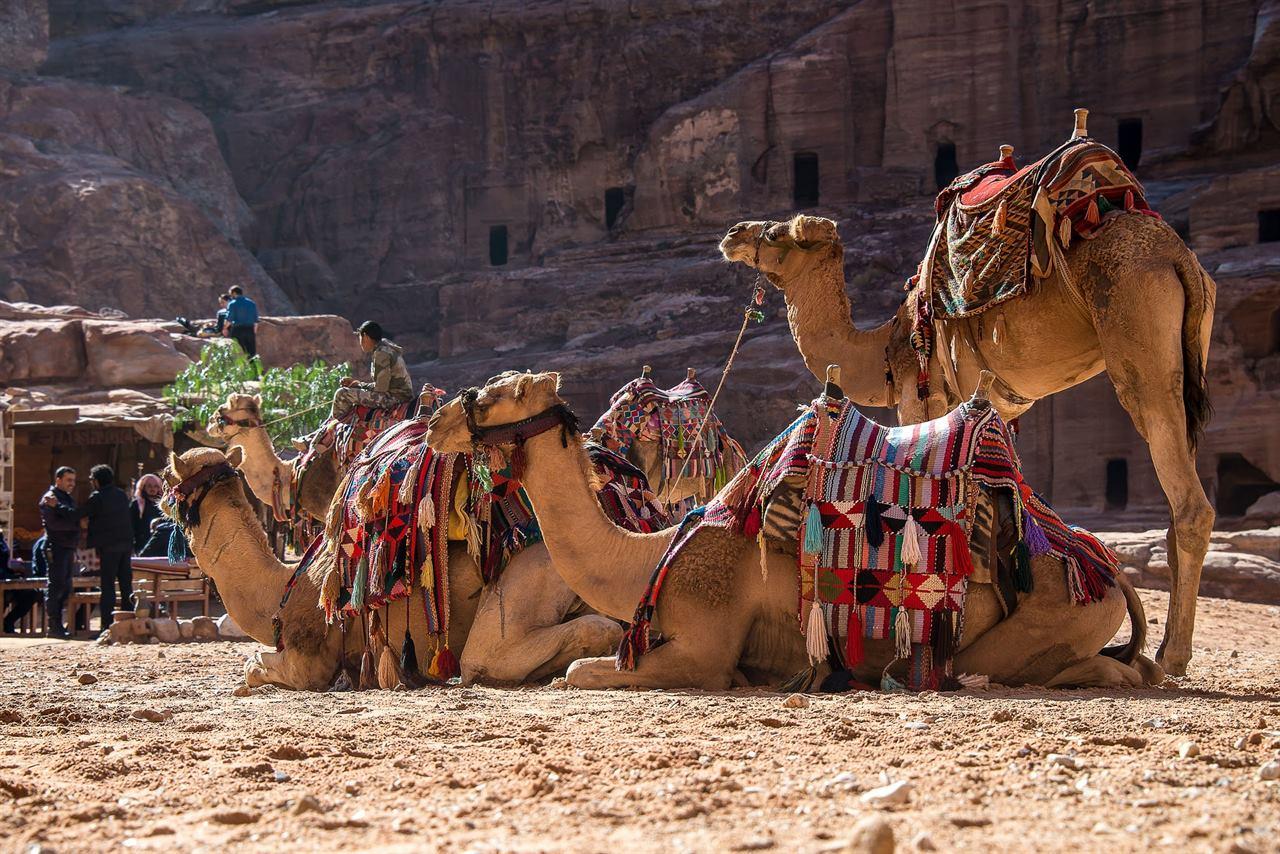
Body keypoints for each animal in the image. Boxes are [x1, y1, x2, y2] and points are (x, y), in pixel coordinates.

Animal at [165, 445, 624, 691]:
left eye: (169, 481)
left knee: (492, 655)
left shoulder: (308, 661)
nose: (157, 499)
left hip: (532, 576)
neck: (281, 588)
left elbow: (253, 664)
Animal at [427, 371, 1162, 691]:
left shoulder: (707, 644)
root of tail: (1104, 568)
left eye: (493, 395)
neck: (650, 557)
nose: (437, 421)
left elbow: (580, 673)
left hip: (1052, 609)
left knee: (1047, 666)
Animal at [727, 209, 1213, 676]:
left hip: (1136, 327)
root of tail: (1177, 256)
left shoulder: (921, 396)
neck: (882, 349)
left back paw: (1173, 657)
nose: (733, 233)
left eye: (776, 234)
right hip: (1188, 351)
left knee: (1188, 498)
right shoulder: (987, 404)